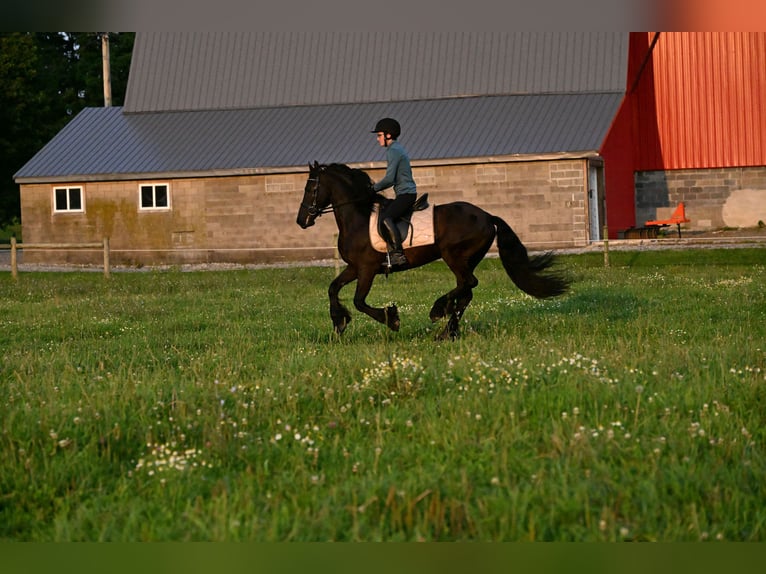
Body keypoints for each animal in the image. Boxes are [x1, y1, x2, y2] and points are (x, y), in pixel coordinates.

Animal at [296, 161, 570, 340]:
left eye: (311, 189)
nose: (301, 221)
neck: (358, 217)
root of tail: (486, 216)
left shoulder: (367, 269)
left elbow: (359, 301)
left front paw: (391, 319)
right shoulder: (354, 268)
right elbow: (333, 288)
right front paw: (339, 323)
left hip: (454, 256)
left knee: (468, 284)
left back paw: (438, 310)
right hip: (466, 259)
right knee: (467, 291)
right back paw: (447, 331)